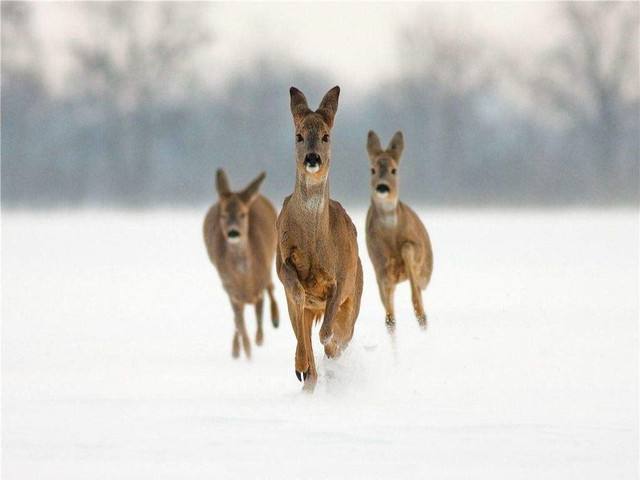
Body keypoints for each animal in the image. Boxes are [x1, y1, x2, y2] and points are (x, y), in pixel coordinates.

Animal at [202, 171, 278, 358]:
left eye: (243, 214)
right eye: (223, 215)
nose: (233, 232)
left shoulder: (259, 286)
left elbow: (259, 316)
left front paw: (259, 340)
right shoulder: (231, 291)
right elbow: (240, 324)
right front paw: (247, 351)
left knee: (272, 286)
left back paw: (275, 319)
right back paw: (236, 349)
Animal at [276, 86, 362, 392]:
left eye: (326, 136)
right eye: (298, 135)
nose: (312, 158)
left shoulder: (341, 277)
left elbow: (327, 333)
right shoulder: (282, 262)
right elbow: (297, 293)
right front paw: (302, 367)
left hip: (355, 295)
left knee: (339, 335)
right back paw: (305, 374)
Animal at [364, 131, 436, 334]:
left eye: (394, 170)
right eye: (372, 169)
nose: (382, 187)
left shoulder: (416, 248)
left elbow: (407, 249)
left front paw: (419, 312)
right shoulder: (378, 266)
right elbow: (389, 314)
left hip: (426, 272)